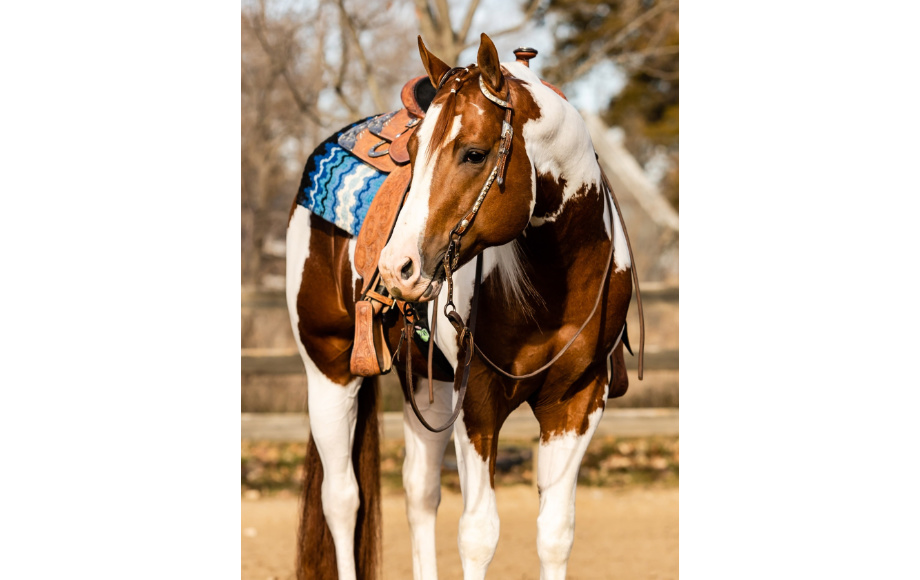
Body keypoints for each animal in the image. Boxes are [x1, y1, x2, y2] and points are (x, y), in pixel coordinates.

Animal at [286, 33, 641, 580]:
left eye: (474, 154)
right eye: (413, 151)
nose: (397, 268)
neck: (550, 287)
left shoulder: (579, 401)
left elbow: (555, 533)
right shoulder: (477, 399)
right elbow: (477, 535)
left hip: (424, 380)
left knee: (419, 494)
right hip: (328, 368)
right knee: (342, 500)